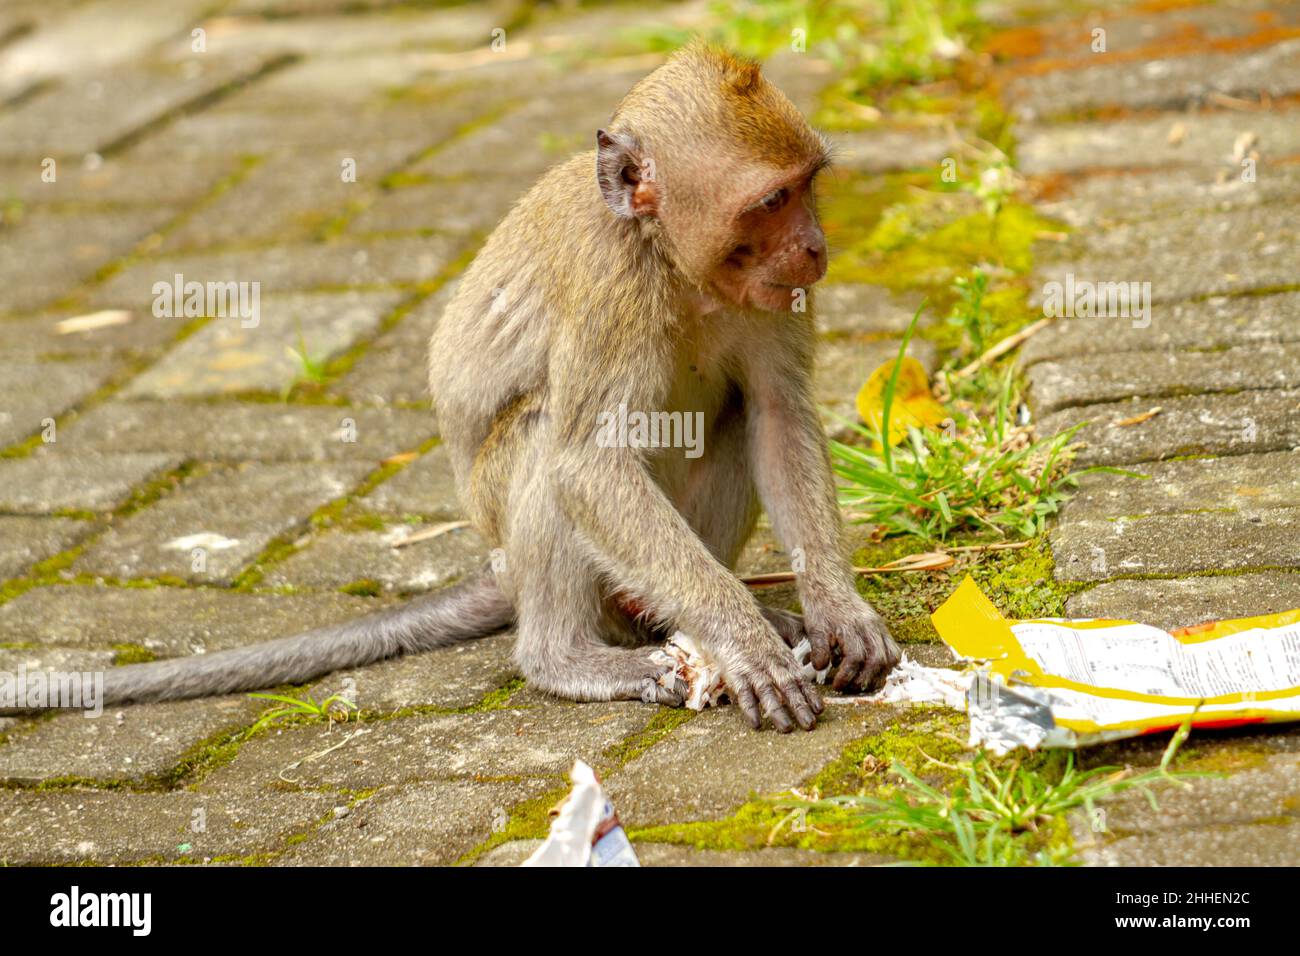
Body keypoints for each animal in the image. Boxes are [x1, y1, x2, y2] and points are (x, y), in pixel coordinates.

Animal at [43, 39, 894, 733]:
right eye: (771, 201)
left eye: (807, 185)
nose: (815, 246)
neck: (673, 264)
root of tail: (501, 567)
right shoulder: (609, 287)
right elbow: (586, 462)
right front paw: (742, 640)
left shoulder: (772, 296)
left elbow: (778, 415)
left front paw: (835, 609)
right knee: (543, 432)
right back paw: (569, 657)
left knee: (735, 414)